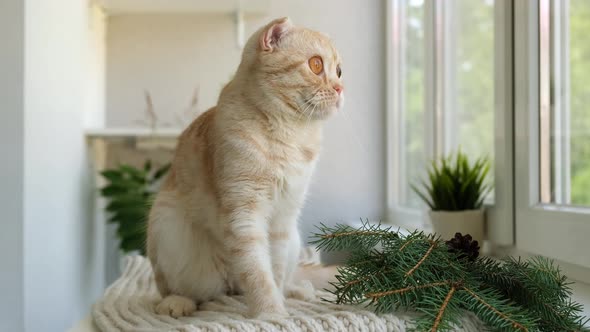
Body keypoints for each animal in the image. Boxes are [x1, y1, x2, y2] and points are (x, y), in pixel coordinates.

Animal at [147, 16, 346, 318]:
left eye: (339, 71)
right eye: (316, 65)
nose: (340, 89)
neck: (290, 135)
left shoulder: (283, 219)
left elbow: (274, 270)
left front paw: (279, 302)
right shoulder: (244, 216)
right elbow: (257, 272)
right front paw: (271, 313)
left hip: (294, 238)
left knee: (285, 276)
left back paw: (296, 291)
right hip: (167, 227)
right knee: (178, 288)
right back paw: (177, 302)